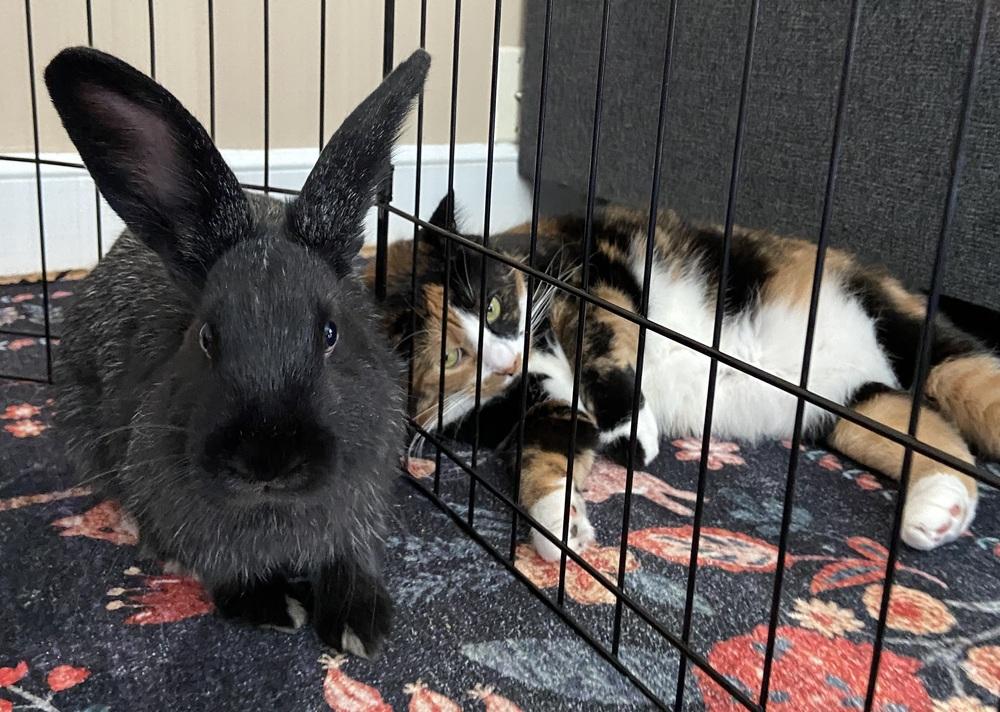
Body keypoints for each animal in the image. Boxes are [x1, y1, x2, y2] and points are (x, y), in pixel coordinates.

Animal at [45, 45, 429, 658]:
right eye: (207, 337)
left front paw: (361, 625)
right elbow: (227, 568)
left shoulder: (359, 514)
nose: (266, 460)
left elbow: (351, 559)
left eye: (330, 333)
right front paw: (270, 606)